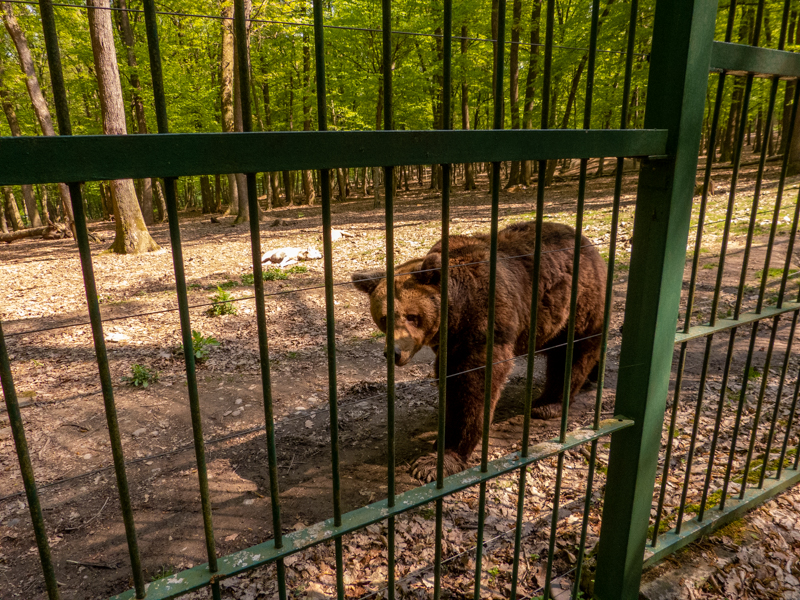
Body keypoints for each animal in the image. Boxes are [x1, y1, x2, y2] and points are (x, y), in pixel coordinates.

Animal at [351, 220, 606, 483]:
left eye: (412, 316)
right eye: (384, 318)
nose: (394, 353)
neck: (455, 315)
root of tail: (586, 241)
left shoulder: (484, 324)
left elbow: (473, 385)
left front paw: (436, 460)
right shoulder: (449, 345)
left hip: (576, 299)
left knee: (573, 350)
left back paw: (549, 404)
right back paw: (591, 377)